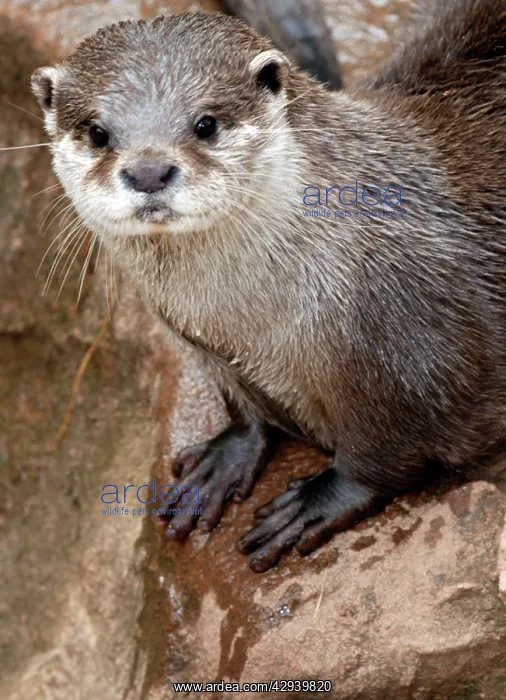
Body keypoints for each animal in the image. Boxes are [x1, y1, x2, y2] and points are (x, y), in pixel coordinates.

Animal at [31, 0, 506, 572]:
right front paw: (225, 459)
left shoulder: (423, 348)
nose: (148, 171)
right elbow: (246, 408)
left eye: (206, 123)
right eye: (98, 132)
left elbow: (398, 444)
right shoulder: (209, 346)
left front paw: (321, 499)